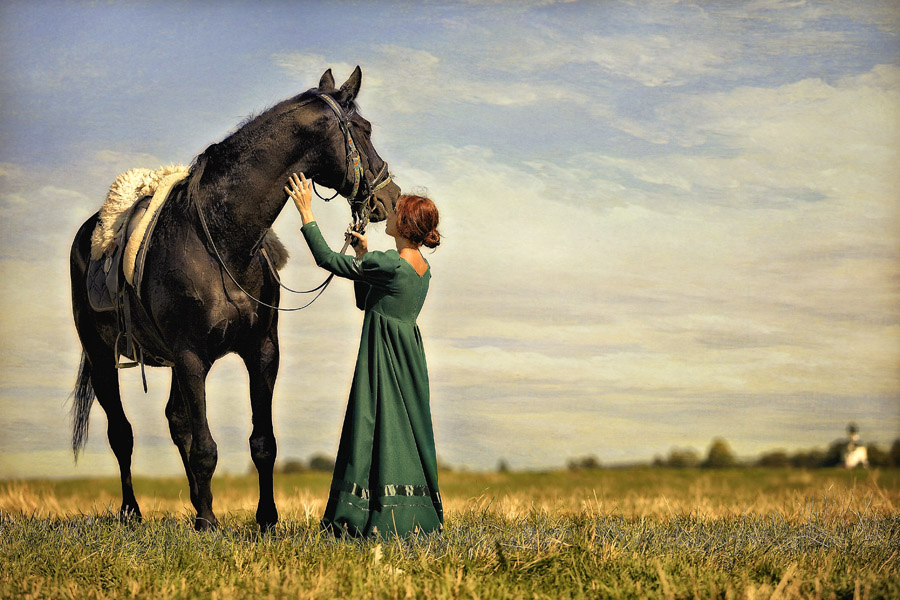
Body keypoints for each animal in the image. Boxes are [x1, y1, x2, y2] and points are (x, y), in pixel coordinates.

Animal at [67, 67, 398, 528]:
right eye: (364, 130)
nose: (390, 196)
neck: (222, 243)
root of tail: (89, 231)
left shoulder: (261, 351)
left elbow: (263, 443)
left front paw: (266, 520)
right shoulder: (191, 356)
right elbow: (205, 447)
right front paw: (208, 523)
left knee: (176, 421)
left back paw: (192, 502)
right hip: (102, 357)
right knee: (123, 434)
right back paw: (133, 512)